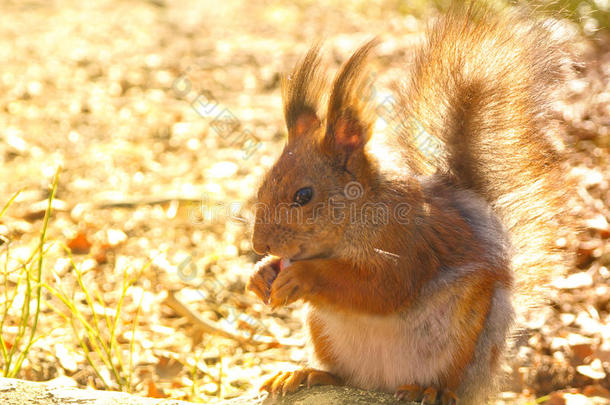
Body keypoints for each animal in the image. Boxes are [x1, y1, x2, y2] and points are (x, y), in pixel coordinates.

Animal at [245, 3, 572, 404]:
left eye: (303, 195)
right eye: (262, 185)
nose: (260, 245)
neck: (359, 214)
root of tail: (386, 383)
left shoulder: (406, 244)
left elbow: (381, 288)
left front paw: (303, 276)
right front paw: (261, 274)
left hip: (466, 334)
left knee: (449, 378)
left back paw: (432, 390)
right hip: (325, 333)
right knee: (342, 375)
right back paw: (306, 373)